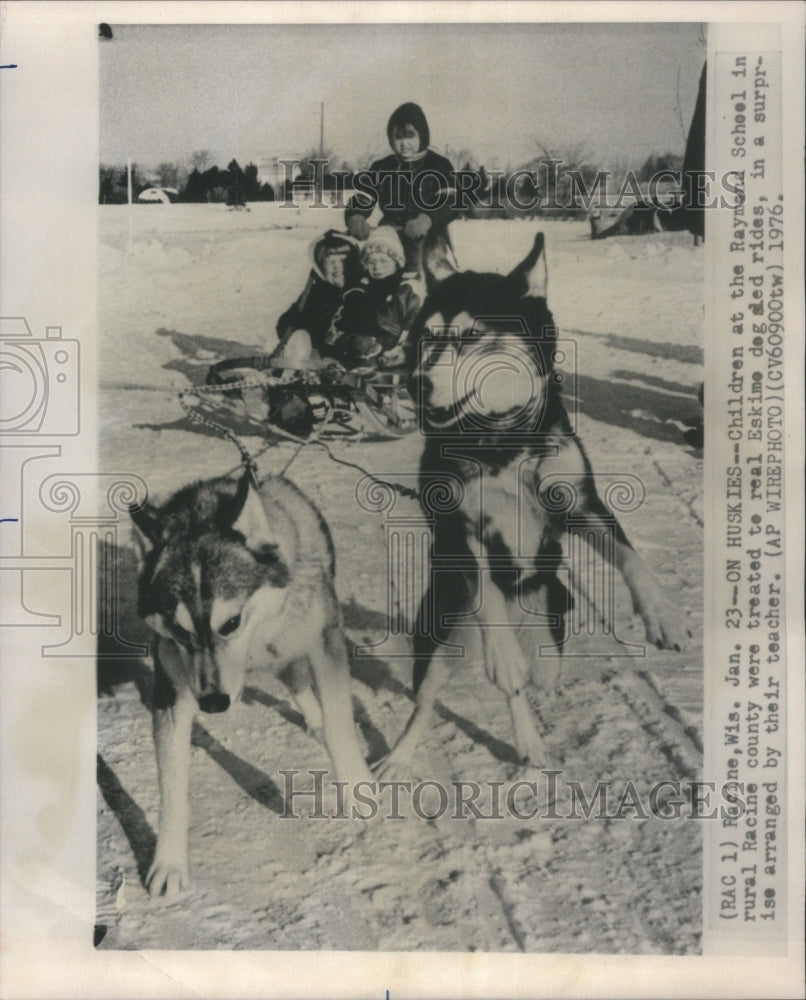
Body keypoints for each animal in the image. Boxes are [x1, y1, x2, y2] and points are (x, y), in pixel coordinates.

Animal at [131, 470, 374, 900]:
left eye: (231, 622)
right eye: (180, 630)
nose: (212, 703)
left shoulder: (324, 644)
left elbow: (340, 725)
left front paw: (356, 788)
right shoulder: (173, 689)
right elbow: (172, 786)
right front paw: (169, 863)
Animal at [378, 230, 688, 776]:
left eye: (470, 335)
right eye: (426, 336)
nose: (414, 383)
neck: (504, 444)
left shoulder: (580, 503)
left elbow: (630, 556)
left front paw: (660, 612)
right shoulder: (460, 527)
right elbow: (486, 592)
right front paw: (502, 655)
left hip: (550, 637)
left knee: (533, 683)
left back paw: (530, 741)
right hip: (443, 640)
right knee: (435, 698)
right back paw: (403, 756)